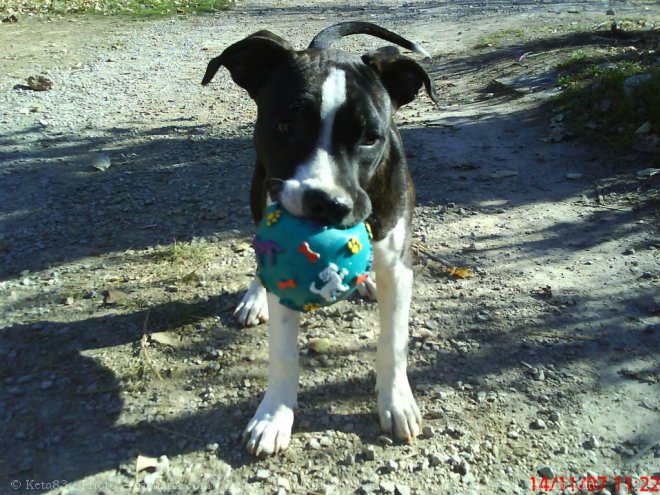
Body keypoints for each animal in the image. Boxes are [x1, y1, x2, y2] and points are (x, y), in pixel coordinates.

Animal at [201, 23, 438, 458]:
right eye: (287, 126)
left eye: (370, 138)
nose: (326, 203)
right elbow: (282, 354)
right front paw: (274, 416)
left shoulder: (400, 266)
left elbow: (393, 341)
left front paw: (397, 402)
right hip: (258, 190)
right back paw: (254, 298)